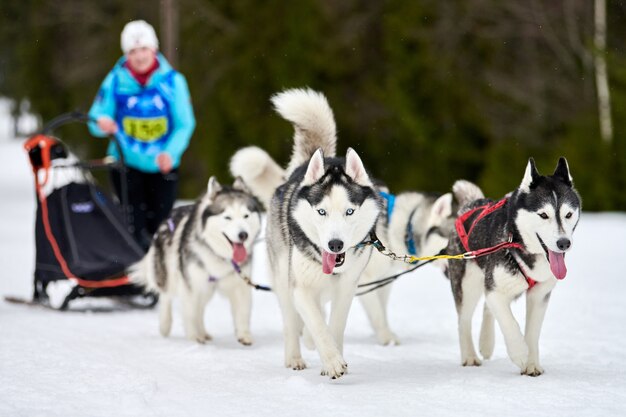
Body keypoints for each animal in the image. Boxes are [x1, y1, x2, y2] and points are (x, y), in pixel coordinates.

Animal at [129, 177, 260, 342]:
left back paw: (203, 332)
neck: (219, 255)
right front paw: (193, 338)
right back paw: (166, 325)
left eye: (246, 216)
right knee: (166, 296)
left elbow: (243, 312)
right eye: (228, 217)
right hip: (170, 274)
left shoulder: (240, 284)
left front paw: (244, 335)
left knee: (200, 309)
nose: (243, 235)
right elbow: (190, 313)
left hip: (206, 288)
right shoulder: (190, 285)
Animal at [446, 158, 576, 376]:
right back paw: (470, 356)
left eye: (568, 214)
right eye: (543, 215)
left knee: (486, 307)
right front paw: (520, 353)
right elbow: (509, 322)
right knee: (464, 320)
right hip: (468, 283)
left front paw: (532, 364)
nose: (564, 243)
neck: (516, 242)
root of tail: (470, 204)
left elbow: (532, 332)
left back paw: (486, 343)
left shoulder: (539, 294)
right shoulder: (496, 291)